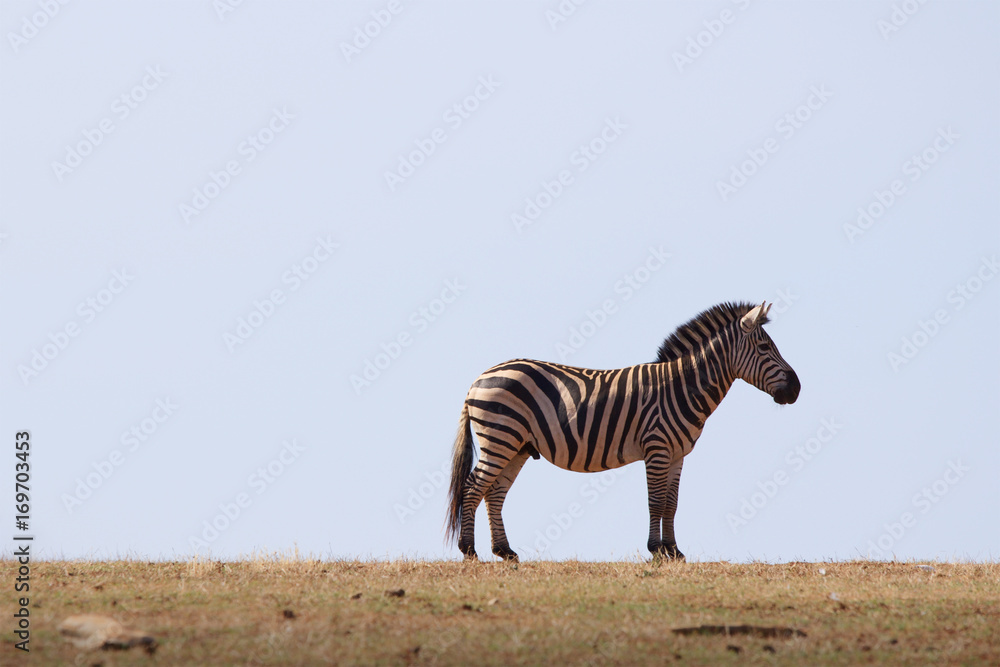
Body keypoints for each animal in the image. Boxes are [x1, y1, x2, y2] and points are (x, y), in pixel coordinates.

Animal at [445, 301, 800, 561]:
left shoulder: (678, 454)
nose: (796, 389)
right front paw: (656, 550)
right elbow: (655, 501)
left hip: (516, 445)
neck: (681, 387)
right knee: (473, 487)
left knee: (494, 493)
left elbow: (672, 503)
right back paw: (469, 551)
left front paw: (674, 551)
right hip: (500, 437)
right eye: (765, 347)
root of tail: (479, 378)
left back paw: (504, 551)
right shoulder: (657, 448)